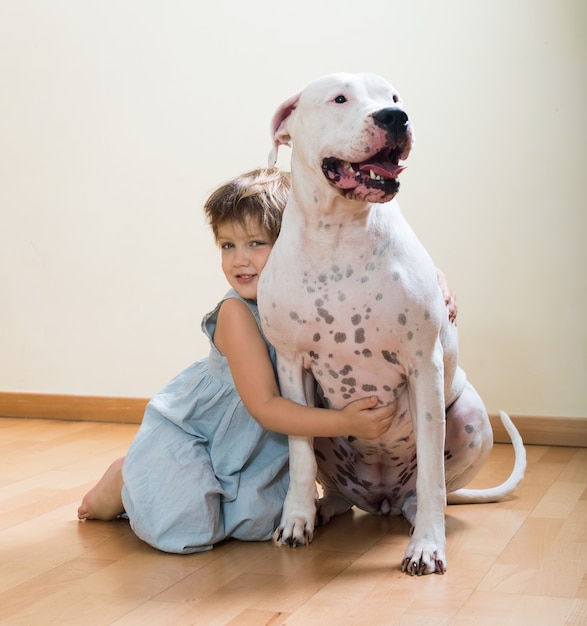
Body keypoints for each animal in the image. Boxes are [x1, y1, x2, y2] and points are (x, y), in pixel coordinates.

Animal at [260, 70, 524, 572]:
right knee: (339, 489)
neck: (340, 235)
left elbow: (433, 474)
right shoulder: (290, 365)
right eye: (339, 99)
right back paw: (325, 508)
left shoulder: (423, 365)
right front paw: (296, 518)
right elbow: (300, 458)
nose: (395, 117)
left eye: (395, 96)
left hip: (469, 416)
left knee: (427, 489)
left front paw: (427, 546)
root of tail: (380, 498)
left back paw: (419, 518)